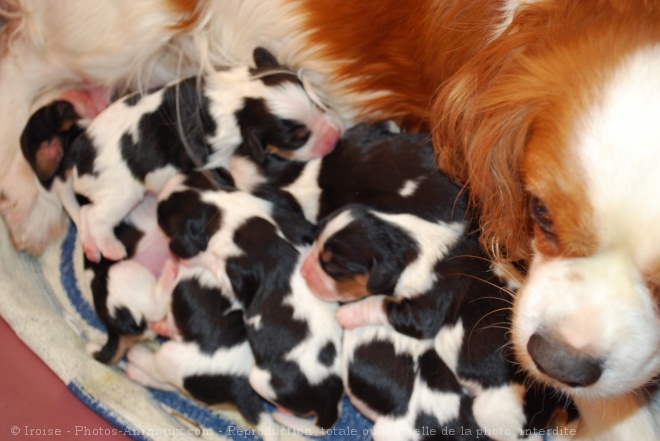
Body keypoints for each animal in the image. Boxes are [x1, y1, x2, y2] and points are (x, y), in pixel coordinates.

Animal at [20, 45, 340, 262]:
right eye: (297, 138)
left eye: (318, 100)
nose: (336, 134)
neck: (240, 96)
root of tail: (77, 151)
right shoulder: (217, 156)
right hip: (119, 193)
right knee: (93, 214)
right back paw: (109, 247)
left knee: (84, 215)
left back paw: (91, 247)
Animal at [127, 262, 278, 436]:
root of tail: (239, 382)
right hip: (196, 385)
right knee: (169, 385)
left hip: (171, 358)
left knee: (154, 366)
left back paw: (136, 355)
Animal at [159, 173, 346, 434]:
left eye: (162, 216)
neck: (217, 206)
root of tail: (328, 404)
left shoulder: (233, 275)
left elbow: (212, 261)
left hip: (259, 379)